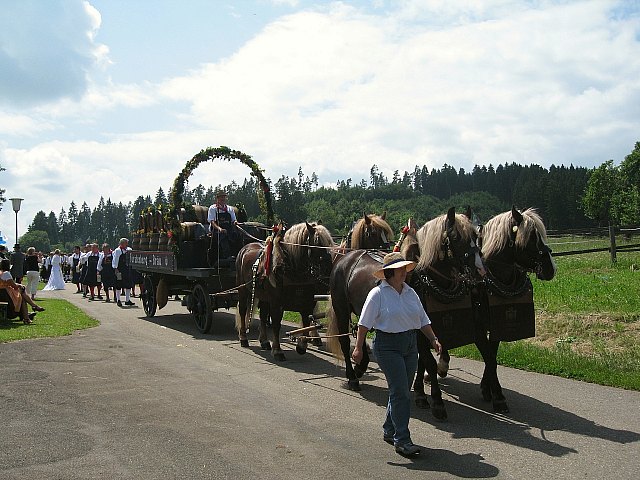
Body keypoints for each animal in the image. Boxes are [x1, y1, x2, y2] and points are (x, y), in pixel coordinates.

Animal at [235, 223, 336, 362]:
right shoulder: (277, 303)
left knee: (262, 316)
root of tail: (245, 248)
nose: (329, 270)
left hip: (264, 297)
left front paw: (302, 344)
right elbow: (276, 325)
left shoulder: (306, 303)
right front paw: (277, 351)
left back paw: (264, 341)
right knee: (243, 311)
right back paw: (244, 338)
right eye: (317, 243)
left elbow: (306, 323)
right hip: (243, 291)